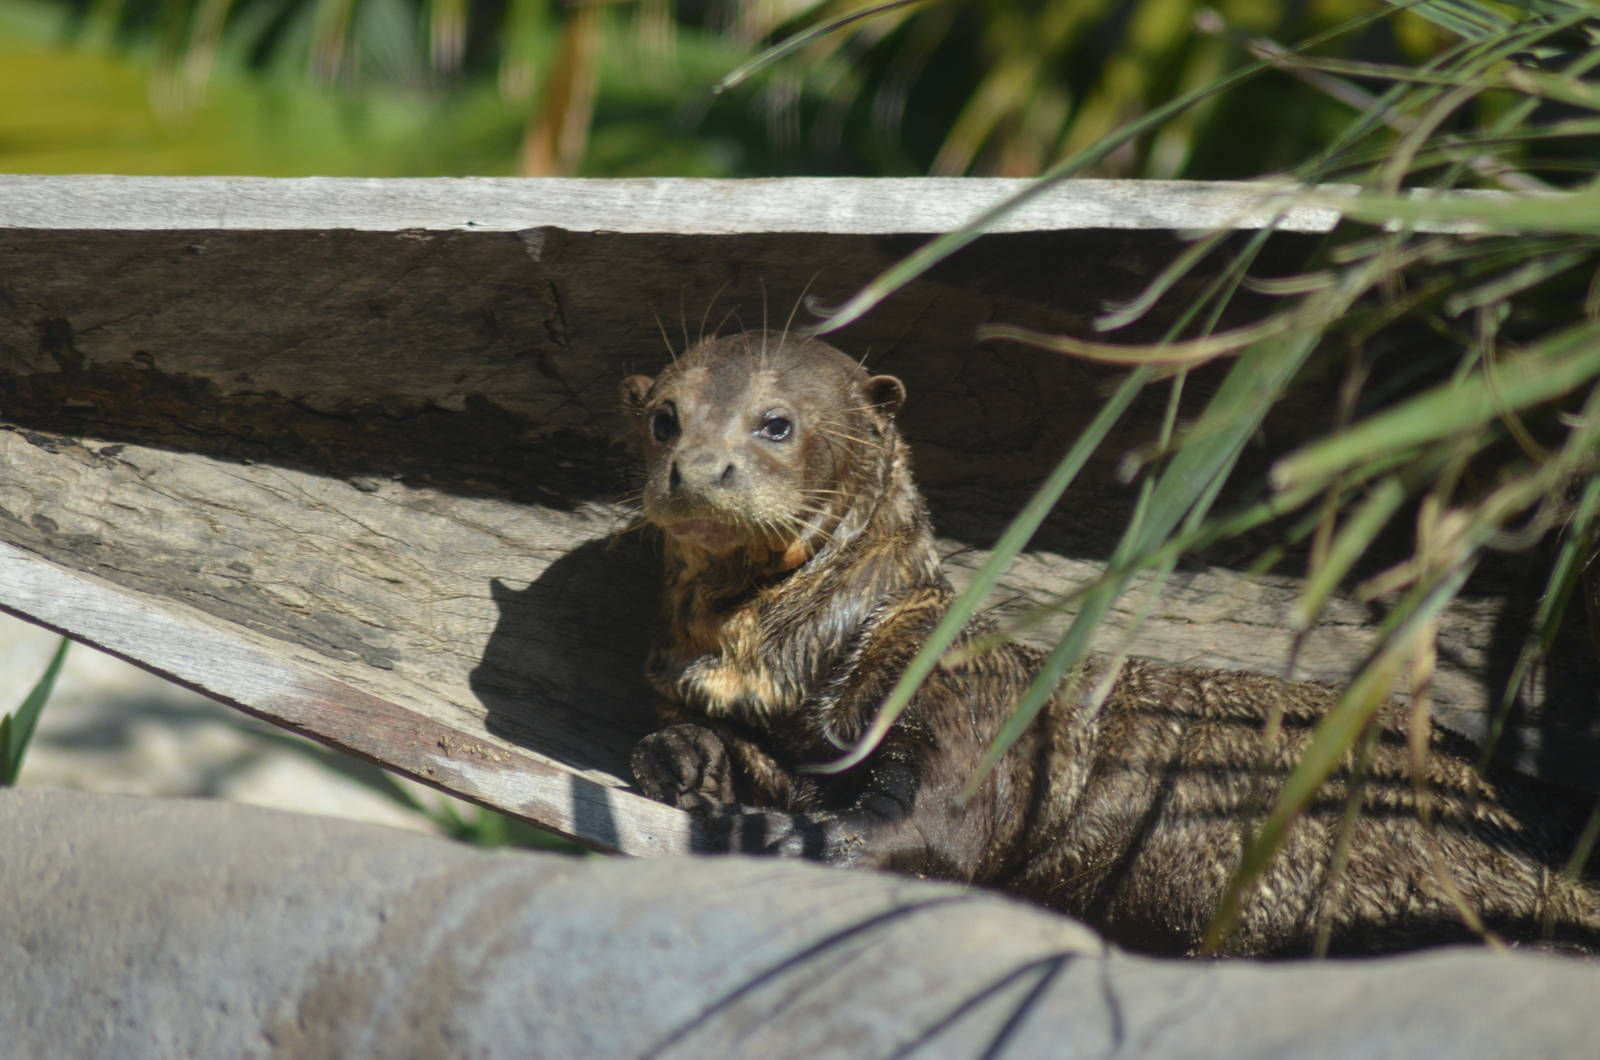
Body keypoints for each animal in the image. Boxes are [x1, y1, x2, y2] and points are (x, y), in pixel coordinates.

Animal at [621, 329, 1600, 957]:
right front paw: (687, 760)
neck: (787, 664)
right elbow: (721, 750)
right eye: (665, 418)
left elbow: (938, 826)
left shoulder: (957, 691)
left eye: (776, 422)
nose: (698, 468)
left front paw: (781, 836)